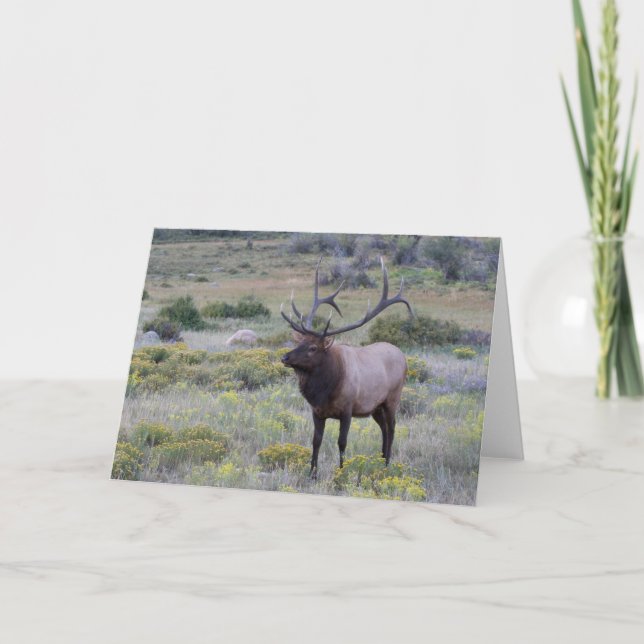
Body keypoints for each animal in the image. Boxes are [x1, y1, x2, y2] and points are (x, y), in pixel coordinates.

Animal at [280, 257, 413, 477]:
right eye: (299, 342)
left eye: (313, 348)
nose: (285, 357)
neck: (325, 391)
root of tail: (402, 356)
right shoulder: (317, 411)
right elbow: (316, 441)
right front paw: (312, 474)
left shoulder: (347, 409)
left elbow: (342, 442)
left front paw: (340, 472)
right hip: (375, 406)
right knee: (384, 428)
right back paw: (381, 460)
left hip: (393, 397)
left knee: (392, 427)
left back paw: (387, 464)